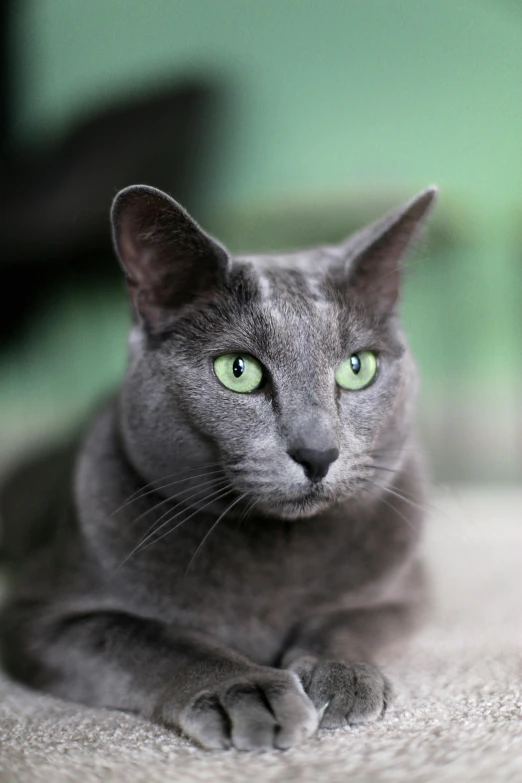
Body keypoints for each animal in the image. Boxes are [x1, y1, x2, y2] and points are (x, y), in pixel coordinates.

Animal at [0, 184, 434, 752]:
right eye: (238, 370)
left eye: (357, 367)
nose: (317, 452)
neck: (276, 550)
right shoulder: (39, 618)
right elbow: (154, 639)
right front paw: (247, 692)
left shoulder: (411, 590)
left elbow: (349, 620)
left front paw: (341, 675)